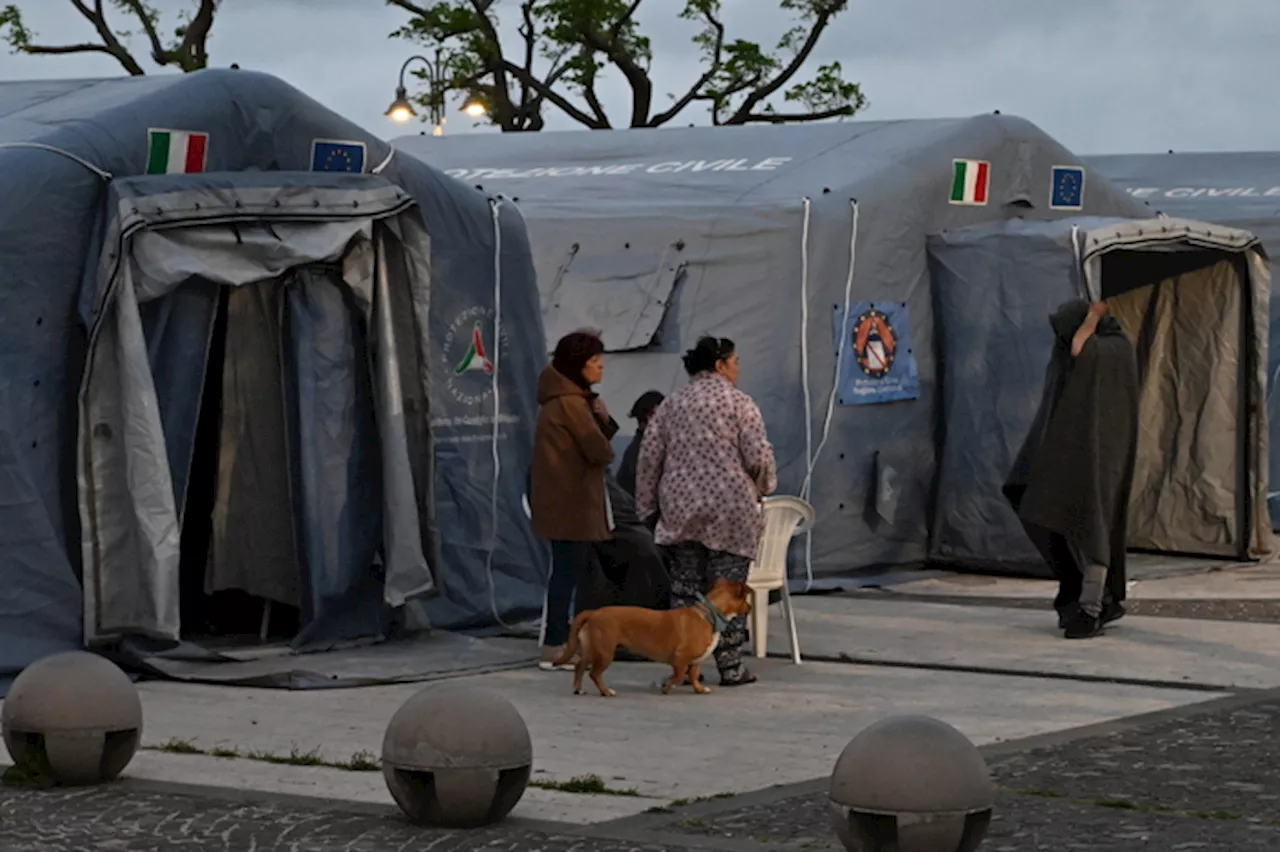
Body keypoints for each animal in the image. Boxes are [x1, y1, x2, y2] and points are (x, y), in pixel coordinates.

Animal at [550, 578, 747, 695]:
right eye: (746, 600)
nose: (750, 608)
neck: (708, 614)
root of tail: (593, 613)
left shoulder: (695, 661)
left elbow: (693, 675)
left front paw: (699, 688)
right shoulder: (680, 658)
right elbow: (678, 675)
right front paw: (666, 688)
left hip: (591, 650)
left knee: (579, 667)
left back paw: (579, 689)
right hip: (605, 653)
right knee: (594, 674)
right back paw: (606, 692)